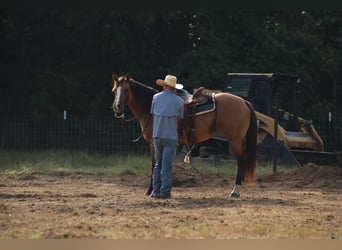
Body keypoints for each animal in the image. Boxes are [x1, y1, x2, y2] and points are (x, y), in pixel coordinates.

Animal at [112, 73, 256, 198]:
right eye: (114, 91)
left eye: (126, 90)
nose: (117, 107)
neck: (149, 107)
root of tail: (244, 102)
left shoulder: (153, 143)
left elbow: (154, 165)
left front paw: (150, 191)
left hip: (235, 141)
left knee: (240, 161)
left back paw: (235, 191)